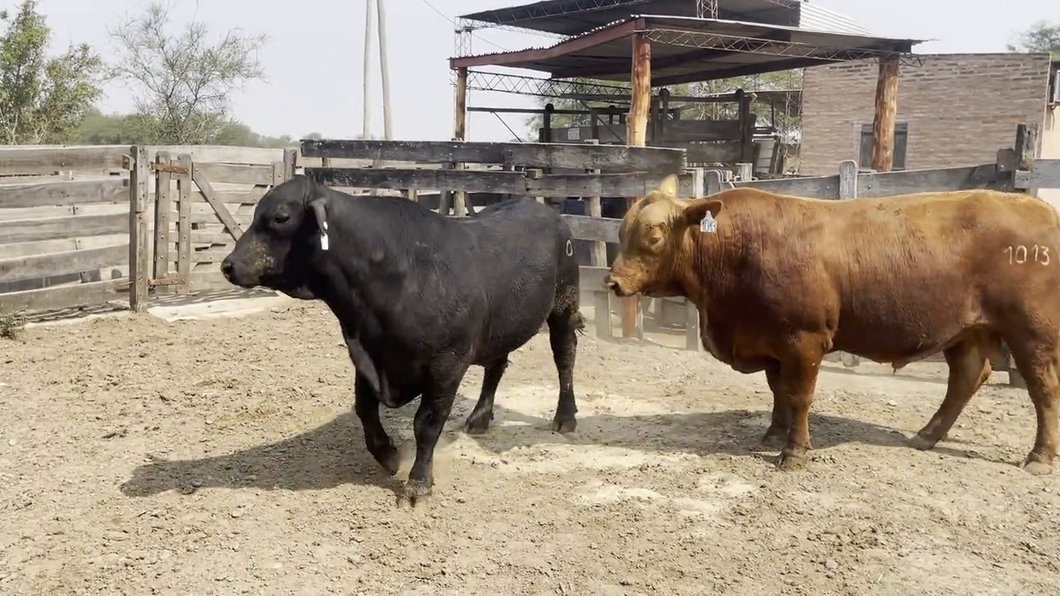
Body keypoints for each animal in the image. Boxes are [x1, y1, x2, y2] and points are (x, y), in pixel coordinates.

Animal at [222, 174, 585, 500]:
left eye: (280, 217)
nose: (228, 265)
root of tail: (545, 211)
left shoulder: (447, 365)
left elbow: (426, 422)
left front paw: (418, 483)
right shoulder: (367, 356)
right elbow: (364, 410)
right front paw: (388, 454)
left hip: (564, 306)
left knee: (564, 357)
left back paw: (565, 417)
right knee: (496, 366)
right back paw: (480, 417)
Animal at [606, 172, 1060, 472]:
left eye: (653, 237)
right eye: (623, 231)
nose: (613, 282)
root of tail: (1038, 207)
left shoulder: (804, 341)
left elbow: (799, 396)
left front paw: (793, 452)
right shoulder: (771, 342)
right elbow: (778, 392)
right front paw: (774, 433)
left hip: (1032, 332)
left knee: (1043, 388)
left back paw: (1039, 457)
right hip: (966, 330)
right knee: (967, 377)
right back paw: (927, 436)